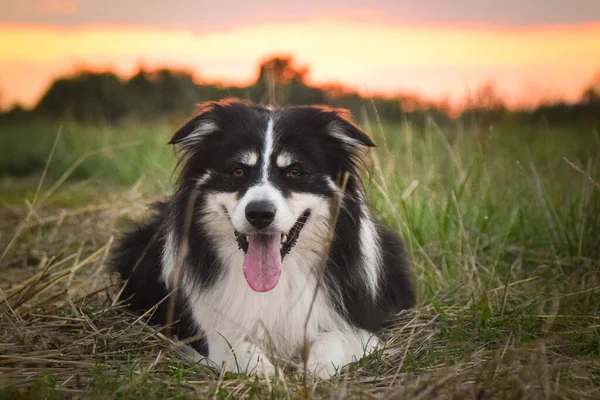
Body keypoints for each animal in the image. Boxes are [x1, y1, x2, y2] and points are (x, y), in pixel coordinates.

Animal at [111, 99, 412, 378]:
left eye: (294, 172)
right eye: (237, 171)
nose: (259, 214)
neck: (275, 283)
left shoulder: (357, 323)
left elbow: (334, 337)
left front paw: (317, 370)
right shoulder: (206, 330)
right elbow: (235, 344)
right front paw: (265, 373)